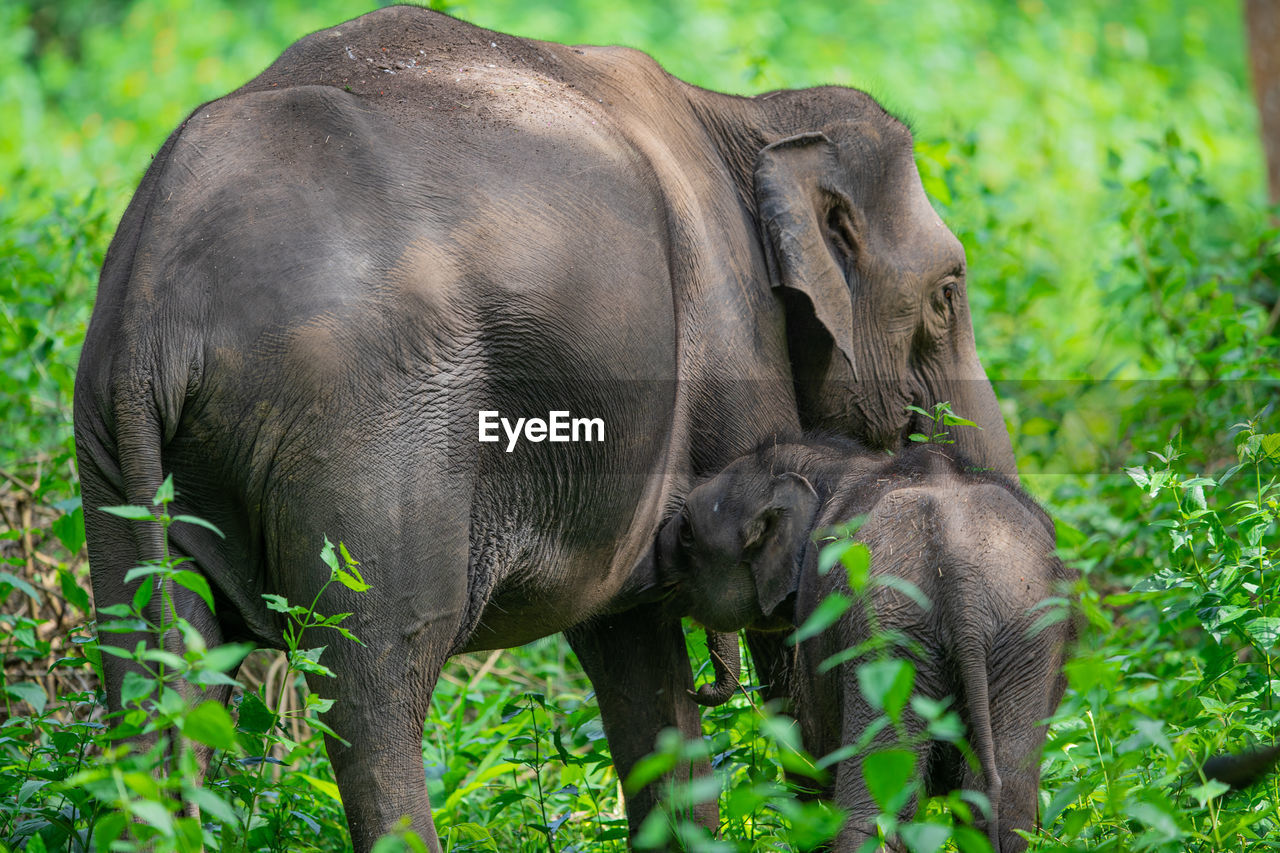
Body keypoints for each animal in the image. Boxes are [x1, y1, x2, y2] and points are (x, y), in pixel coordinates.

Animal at [74, 4, 1018, 845]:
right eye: (948, 292)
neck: (745, 117)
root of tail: (159, 287)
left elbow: (637, 660)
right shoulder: (734, 336)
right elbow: (788, 633)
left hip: (112, 454)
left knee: (156, 672)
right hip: (363, 430)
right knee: (377, 673)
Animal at [660, 438, 1070, 850]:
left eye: (686, 531)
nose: (699, 689)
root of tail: (958, 568)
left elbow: (815, 746)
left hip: (890, 640)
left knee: (871, 810)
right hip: (1022, 637)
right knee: (1002, 804)